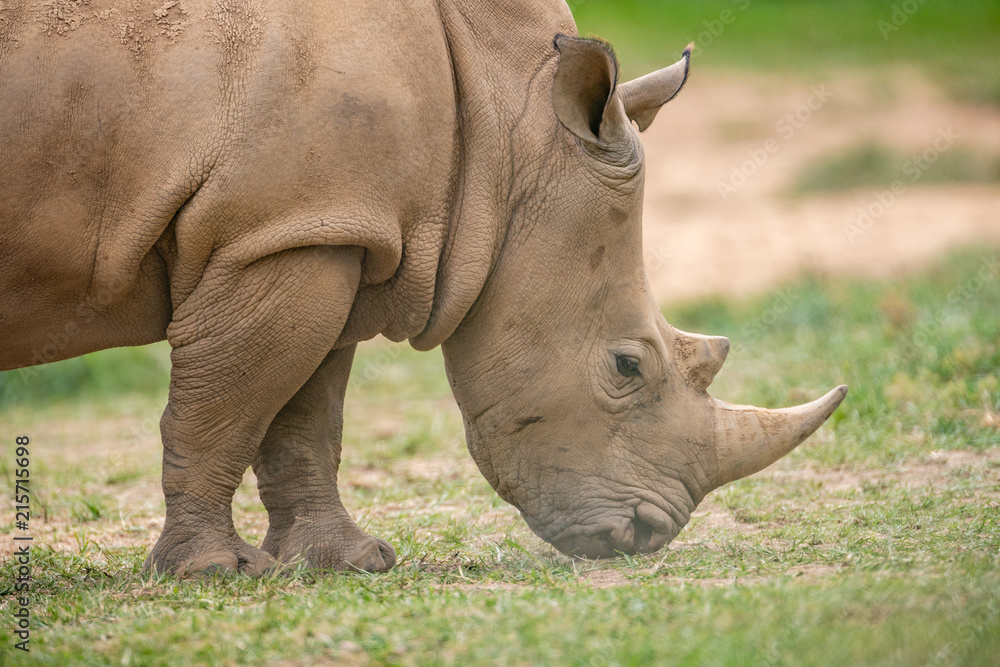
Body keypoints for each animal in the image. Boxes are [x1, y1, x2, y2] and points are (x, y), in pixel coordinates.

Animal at [0, 0, 846, 575]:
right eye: (626, 366)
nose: (645, 535)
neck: (509, 123)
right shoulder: (281, 231)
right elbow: (223, 409)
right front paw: (213, 572)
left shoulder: (327, 231)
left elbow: (304, 415)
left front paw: (347, 563)